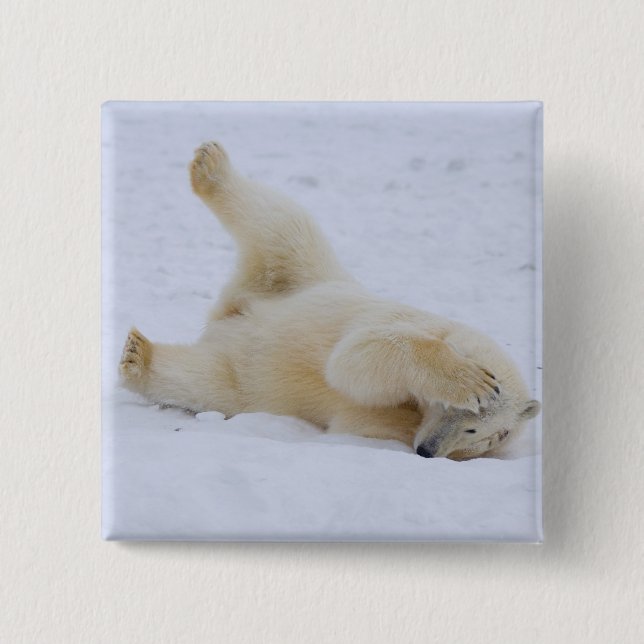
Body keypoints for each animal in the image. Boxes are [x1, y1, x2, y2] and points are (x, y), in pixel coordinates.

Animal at [119, 141, 540, 459]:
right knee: (282, 224)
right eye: (463, 412)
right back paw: (211, 166)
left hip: (244, 378)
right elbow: (358, 356)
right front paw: (472, 380)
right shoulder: (410, 321)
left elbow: (359, 416)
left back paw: (139, 357)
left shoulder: (389, 422)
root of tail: (231, 310)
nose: (428, 451)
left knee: (204, 381)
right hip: (305, 274)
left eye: (480, 433)